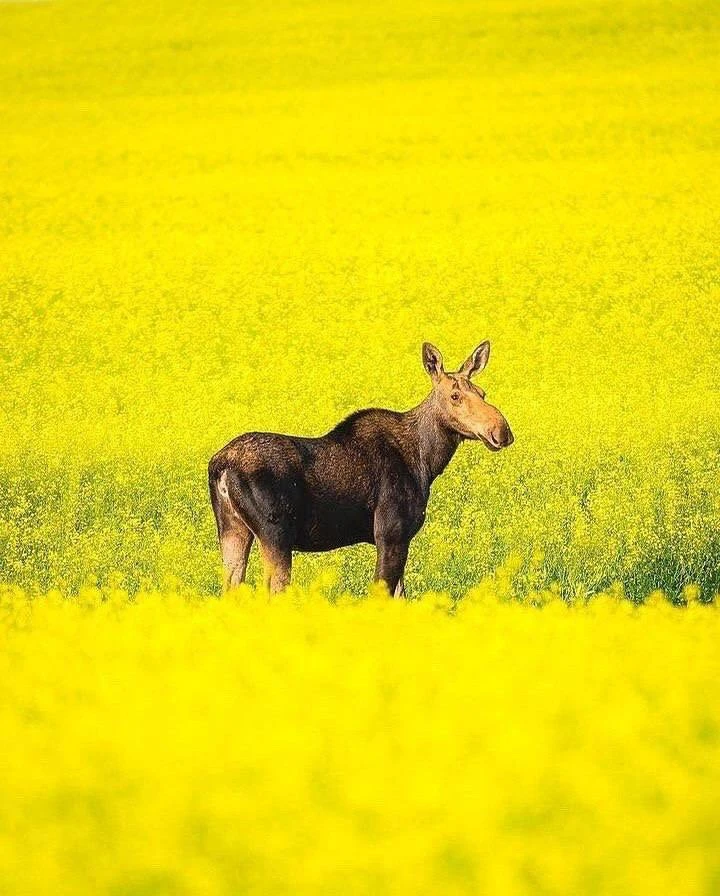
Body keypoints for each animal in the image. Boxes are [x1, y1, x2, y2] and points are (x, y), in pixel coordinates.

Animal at [208, 341, 514, 596]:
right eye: (455, 396)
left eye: (483, 393)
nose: (501, 431)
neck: (427, 461)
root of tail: (219, 466)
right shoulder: (390, 533)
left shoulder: (398, 538)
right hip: (275, 534)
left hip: (233, 529)